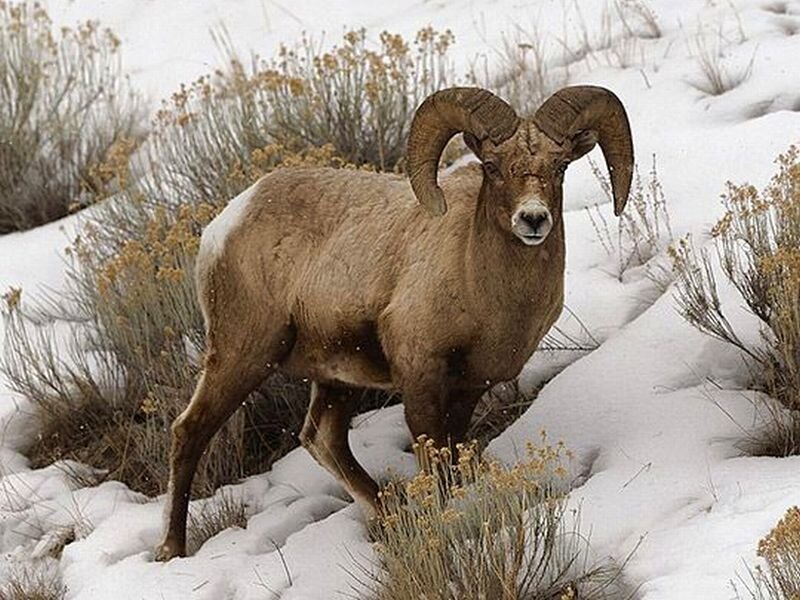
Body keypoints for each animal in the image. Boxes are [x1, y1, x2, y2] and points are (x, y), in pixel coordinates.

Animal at [155, 85, 633, 560]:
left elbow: (450, 461)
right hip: (243, 355)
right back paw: (171, 549)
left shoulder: (468, 387)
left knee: (321, 437)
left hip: (336, 376)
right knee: (190, 432)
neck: (480, 282)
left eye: (560, 166)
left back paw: (387, 516)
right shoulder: (420, 378)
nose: (533, 219)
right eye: (493, 167)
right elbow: (433, 463)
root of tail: (223, 225)